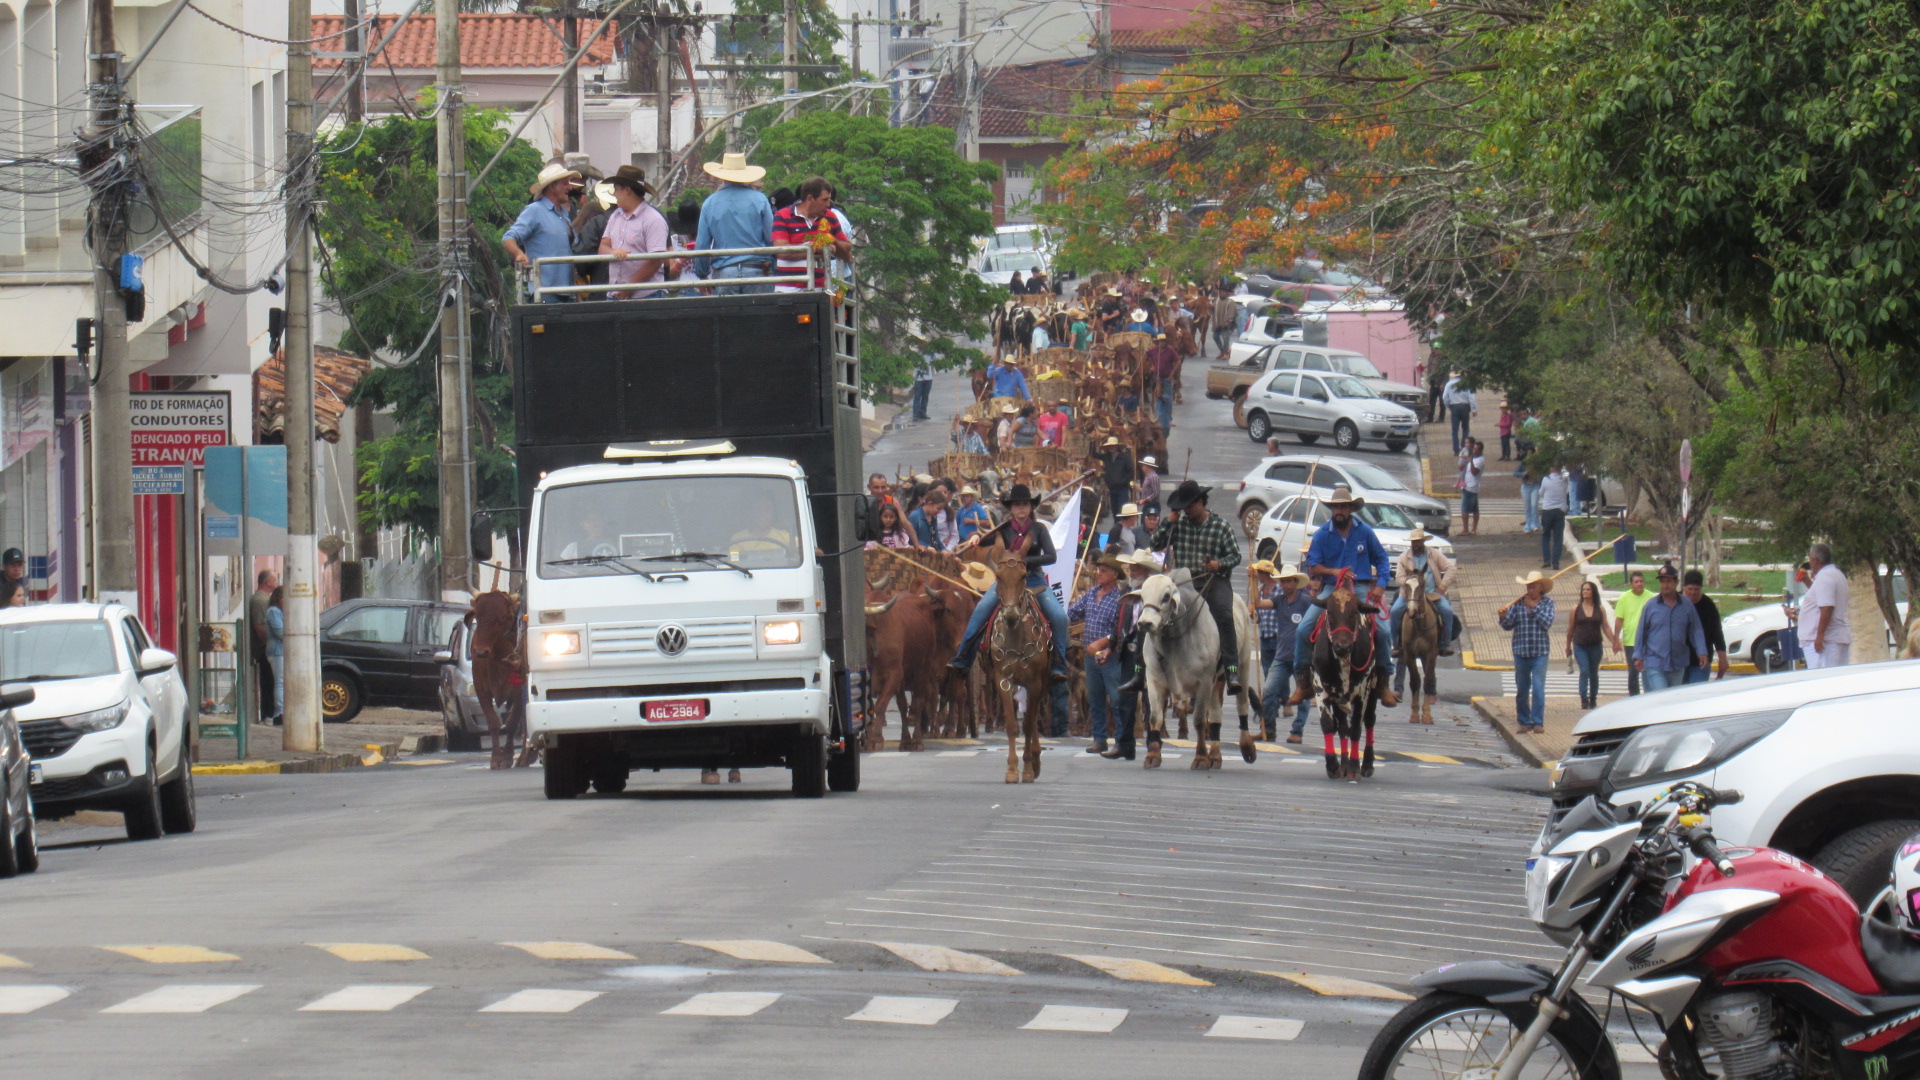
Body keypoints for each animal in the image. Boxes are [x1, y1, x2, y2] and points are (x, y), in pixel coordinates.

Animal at [472, 588, 541, 764]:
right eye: (477, 615)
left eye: (502, 617)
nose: (481, 652)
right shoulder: (480, 689)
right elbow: (493, 722)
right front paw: (496, 757)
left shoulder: (519, 690)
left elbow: (512, 723)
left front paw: (507, 756)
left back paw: (525, 756)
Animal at [983, 541, 1059, 776]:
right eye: (998, 577)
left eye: (1024, 575)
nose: (1010, 615)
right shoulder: (1003, 680)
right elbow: (1012, 725)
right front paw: (1012, 769)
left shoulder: (1035, 682)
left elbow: (1027, 724)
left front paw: (1027, 769)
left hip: (1043, 683)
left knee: (1032, 719)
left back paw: (1035, 760)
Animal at [1305, 576, 1382, 776]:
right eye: (1330, 613)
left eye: (1354, 613)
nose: (1342, 646)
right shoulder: (1320, 686)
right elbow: (1328, 723)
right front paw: (1333, 765)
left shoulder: (1363, 689)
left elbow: (1356, 727)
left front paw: (1354, 766)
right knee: (1341, 727)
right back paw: (1344, 764)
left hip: (1374, 686)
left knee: (1369, 720)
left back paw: (1367, 763)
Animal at [1397, 572, 1443, 722]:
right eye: (1406, 585)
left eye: (1422, 585)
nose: (1411, 610)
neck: (1418, 625)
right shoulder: (1408, 654)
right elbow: (1415, 680)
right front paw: (1415, 713)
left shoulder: (1431, 653)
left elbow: (1427, 680)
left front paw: (1427, 714)